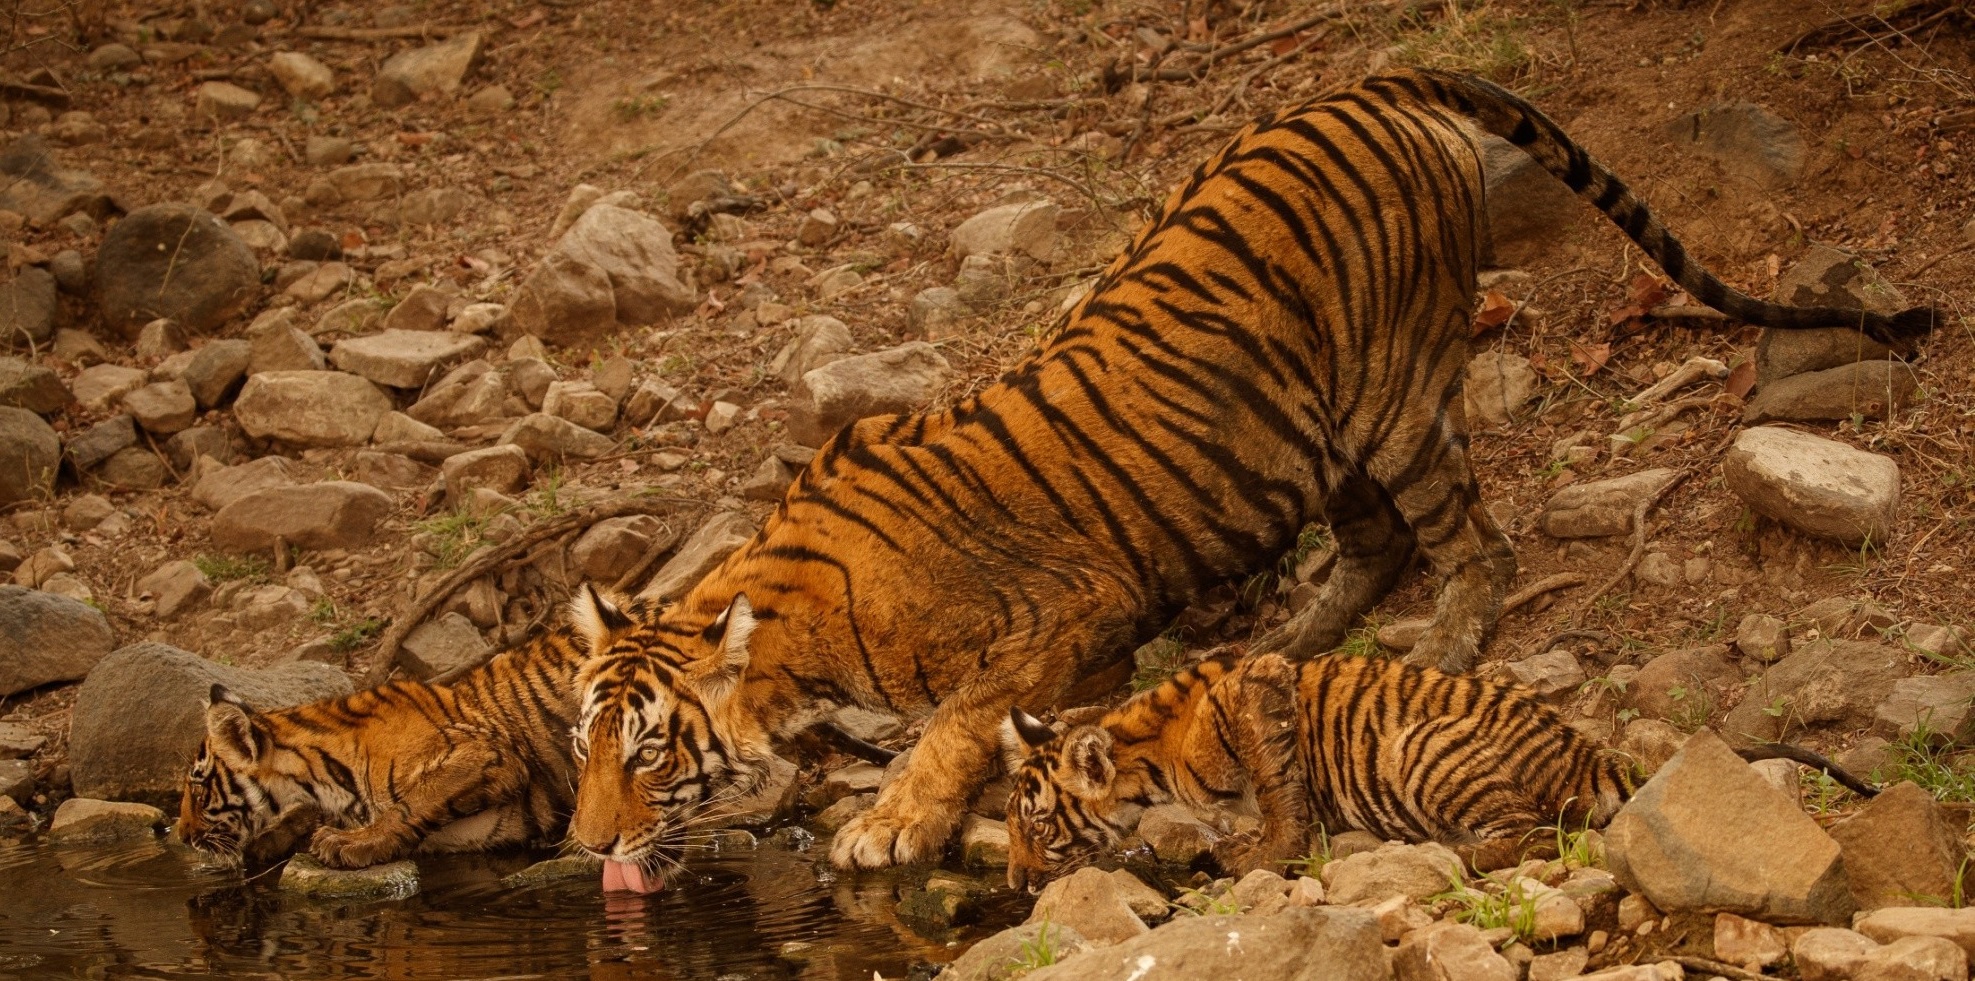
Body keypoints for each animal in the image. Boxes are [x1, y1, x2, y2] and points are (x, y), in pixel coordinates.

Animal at [176, 586, 652, 869]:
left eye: (199, 789)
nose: (181, 837)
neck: (321, 781)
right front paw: (269, 841)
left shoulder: (487, 753)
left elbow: (412, 802)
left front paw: (349, 844)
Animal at [1000, 651, 1880, 889]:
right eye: (1008, 826)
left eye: (1038, 823)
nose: (1012, 881)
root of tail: (1584, 746)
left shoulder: (1259, 687)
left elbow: (1279, 795)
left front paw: (1267, 853)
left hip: (1417, 746)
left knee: (1537, 832)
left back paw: (1457, 850)